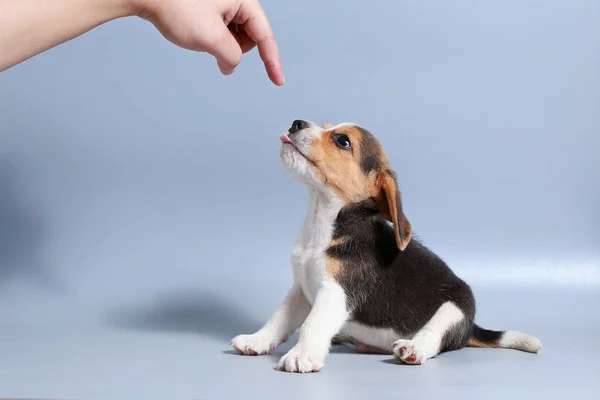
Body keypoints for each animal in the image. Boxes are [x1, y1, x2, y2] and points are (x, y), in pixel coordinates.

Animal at [230, 119, 540, 372]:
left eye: (342, 141)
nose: (296, 123)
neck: (324, 223)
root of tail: (472, 327)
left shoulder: (335, 293)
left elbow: (312, 324)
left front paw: (301, 356)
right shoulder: (301, 290)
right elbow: (278, 318)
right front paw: (257, 341)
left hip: (456, 305)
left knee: (434, 336)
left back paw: (413, 348)